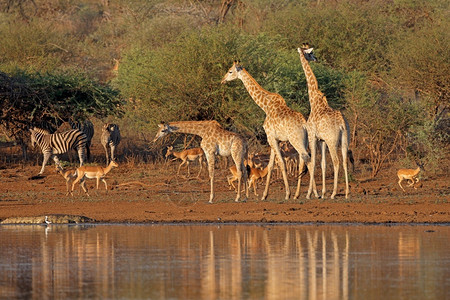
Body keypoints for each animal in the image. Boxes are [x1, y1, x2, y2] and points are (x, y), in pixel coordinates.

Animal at [221, 60, 316, 202]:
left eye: (230, 71)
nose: (223, 80)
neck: (265, 106)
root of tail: (305, 124)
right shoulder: (274, 139)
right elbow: (271, 166)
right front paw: (264, 195)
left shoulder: (270, 137)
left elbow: (281, 163)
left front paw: (287, 194)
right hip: (304, 140)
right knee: (303, 161)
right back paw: (300, 194)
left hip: (296, 140)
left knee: (308, 159)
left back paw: (311, 193)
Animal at [298, 44, 354, 199]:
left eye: (310, 53)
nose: (316, 58)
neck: (314, 101)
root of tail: (342, 123)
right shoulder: (321, 140)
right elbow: (322, 163)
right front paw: (322, 193)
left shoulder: (312, 136)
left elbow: (313, 162)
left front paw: (310, 194)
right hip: (345, 139)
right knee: (345, 161)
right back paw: (346, 193)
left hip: (332, 141)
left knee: (336, 162)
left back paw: (334, 193)